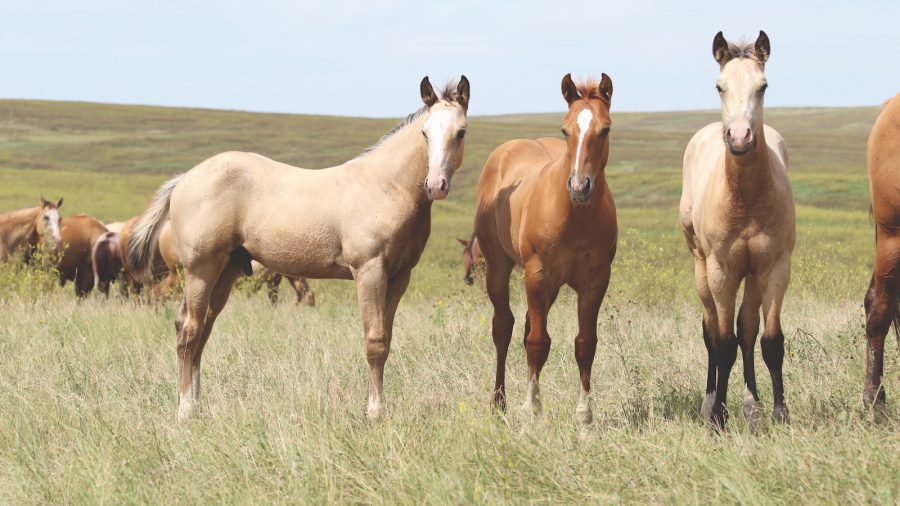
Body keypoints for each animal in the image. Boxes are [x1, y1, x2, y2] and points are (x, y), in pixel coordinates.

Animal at [128, 76, 470, 421]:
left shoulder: (400, 277)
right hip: (200, 270)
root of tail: (184, 179)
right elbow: (374, 342)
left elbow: (386, 340)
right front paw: (373, 413)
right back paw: (185, 409)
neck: (386, 186)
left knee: (201, 331)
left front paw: (375, 406)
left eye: (461, 131)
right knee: (189, 330)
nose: (436, 185)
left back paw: (196, 404)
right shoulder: (369, 272)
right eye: (425, 132)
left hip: (226, 270)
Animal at [474, 73, 616, 426]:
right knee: (504, 327)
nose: (579, 187)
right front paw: (532, 410)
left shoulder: (595, 282)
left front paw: (584, 415)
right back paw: (499, 403)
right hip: (499, 267)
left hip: (551, 287)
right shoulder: (536, 276)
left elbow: (585, 344)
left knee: (526, 325)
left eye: (605, 129)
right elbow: (537, 342)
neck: (574, 219)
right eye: (565, 130)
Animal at [680, 31, 795, 430]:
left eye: (763, 86)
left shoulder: (774, 267)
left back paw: (751, 406)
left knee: (746, 328)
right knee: (712, 330)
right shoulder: (722, 271)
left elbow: (769, 340)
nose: (741, 137)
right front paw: (717, 416)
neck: (744, 199)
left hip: (754, 276)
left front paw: (778, 413)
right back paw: (710, 402)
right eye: (719, 86)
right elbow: (723, 341)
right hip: (701, 270)